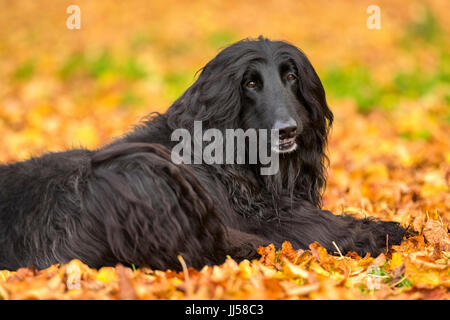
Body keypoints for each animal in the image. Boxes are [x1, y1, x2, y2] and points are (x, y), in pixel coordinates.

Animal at [0, 37, 410, 270]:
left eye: (292, 76)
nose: (288, 130)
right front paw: (390, 231)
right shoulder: (273, 219)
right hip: (135, 169)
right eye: (250, 83)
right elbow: (328, 227)